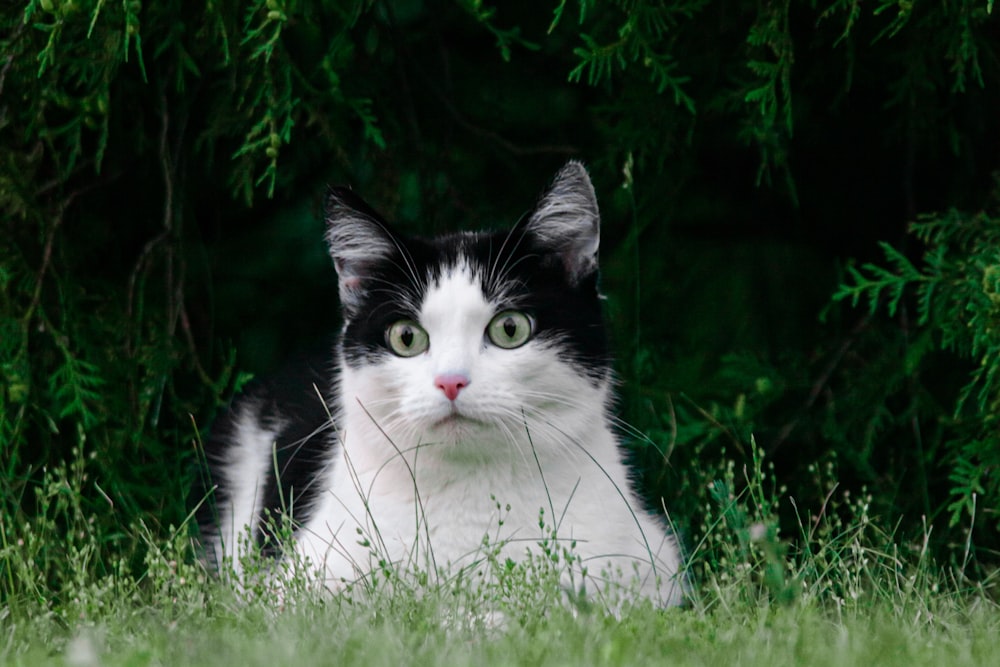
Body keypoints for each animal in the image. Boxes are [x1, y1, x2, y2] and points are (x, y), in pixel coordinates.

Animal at [200, 162, 692, 612]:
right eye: (406, 337)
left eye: (510, 329)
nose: (450, 380)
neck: (474, 492)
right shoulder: (297, 583)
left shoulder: (651, 566)